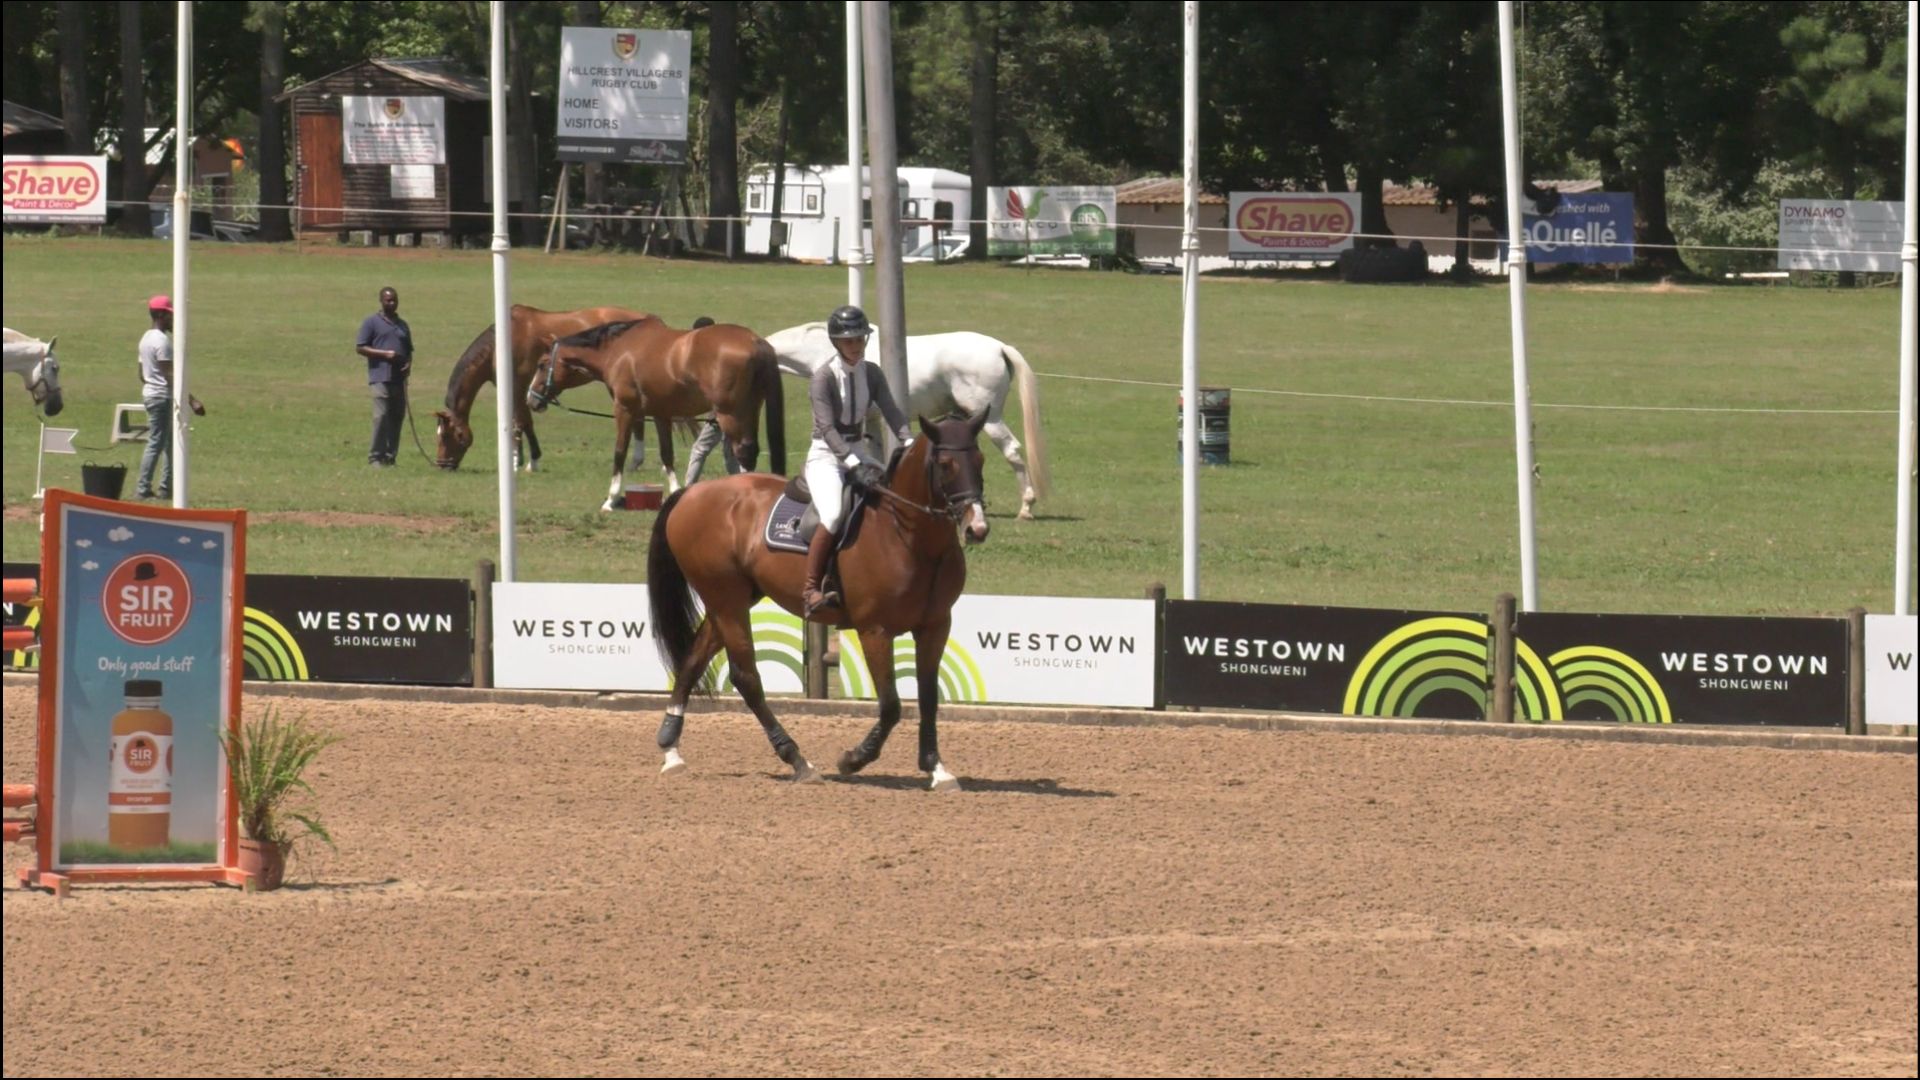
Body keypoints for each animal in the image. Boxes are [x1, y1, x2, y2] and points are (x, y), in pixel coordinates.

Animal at [528, 316, 786, 511]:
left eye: (542, 364)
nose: (531, 399)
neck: (619, 350)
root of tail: (755, 340)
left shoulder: (624, 410)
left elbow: (620, 452)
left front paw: (611, 499)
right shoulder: (661, 414)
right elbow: (667, 455)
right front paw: (674, 494)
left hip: (730, 415)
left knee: (744, 452)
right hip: (749, 412)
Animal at [646, 410, 992, 791]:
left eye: (980, 460)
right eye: (945, 465)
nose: (977, 528)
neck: (908, 536)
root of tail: (692, 493)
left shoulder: (935, 626)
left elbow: (929, 698)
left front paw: (937, 768)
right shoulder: (875, 630)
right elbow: (890, 705)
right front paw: (854, 759)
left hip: (730, 601)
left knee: (693, 660)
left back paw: (671, 750)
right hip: (727, 600)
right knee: (746, 677)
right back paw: (798, 761)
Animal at [764, 322, 1049, 519]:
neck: (823, 351)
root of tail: (999, 347)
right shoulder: (873, 419)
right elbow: (877, 455)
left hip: (990, 419)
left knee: (1012, 451)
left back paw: (1026, 507)